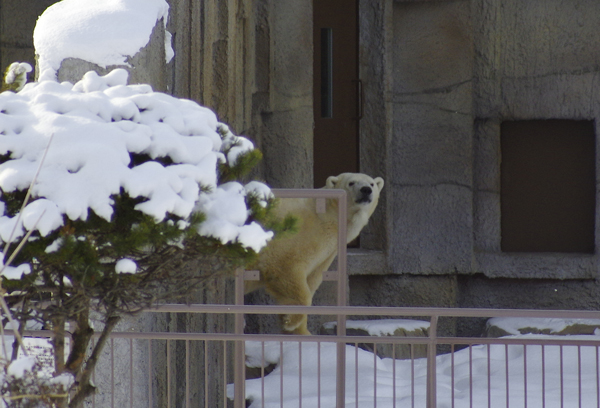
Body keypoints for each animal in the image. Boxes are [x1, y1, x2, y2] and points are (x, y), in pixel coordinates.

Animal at [244, 172, 384, 334]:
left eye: (372, 183)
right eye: (351, 183)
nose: (366, 190)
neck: (327, 215)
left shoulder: (326, 254)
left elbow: (312, 280)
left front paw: (301, 331)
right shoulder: (298, 237)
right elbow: (286, 268)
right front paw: (291, 321)